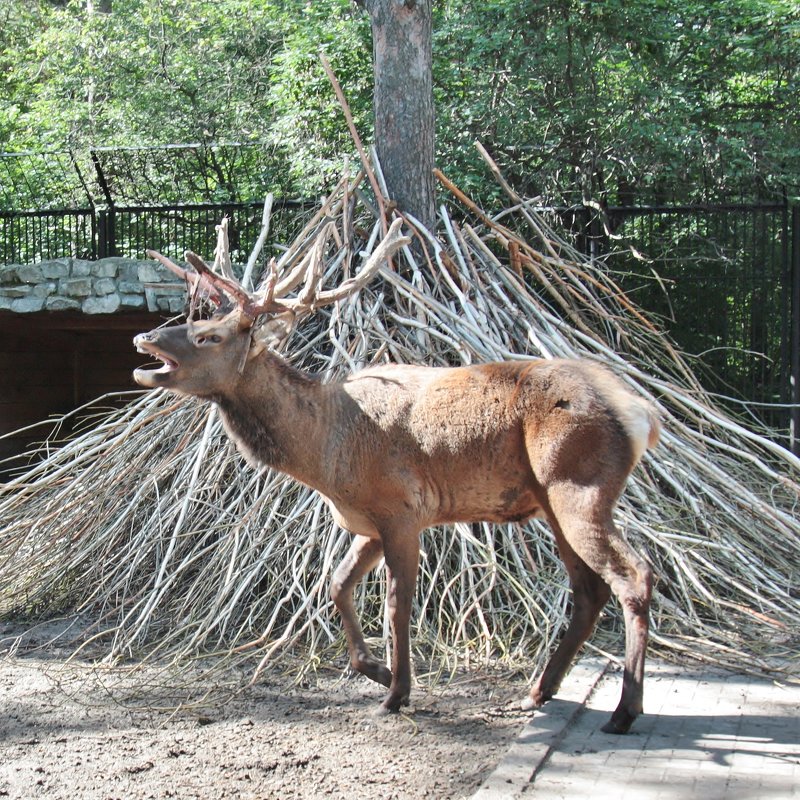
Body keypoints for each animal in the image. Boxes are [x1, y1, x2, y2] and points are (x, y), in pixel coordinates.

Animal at [133, 216, 656, 736]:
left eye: (210, 336)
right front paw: (378, 671)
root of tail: (640, 414)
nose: (144, 339)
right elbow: (337, 586)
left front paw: (397, 693)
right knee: (589, 589)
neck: (324, 453)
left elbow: (396, 604)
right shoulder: (367, 521)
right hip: (552, 502)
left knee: (635, 575)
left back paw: (624, 710)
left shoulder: (402, 509)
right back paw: (537, 692)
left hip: (578, 486)